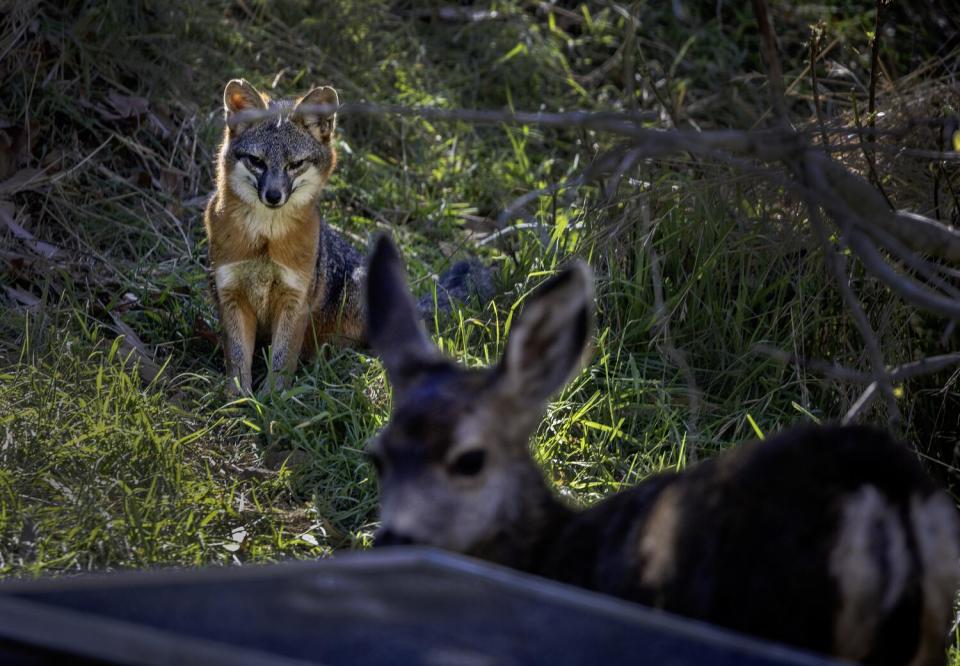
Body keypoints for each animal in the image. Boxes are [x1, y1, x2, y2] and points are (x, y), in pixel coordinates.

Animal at [202, 80, 488, 392]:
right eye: (257, 161)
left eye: (295, 164)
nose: (274, 196)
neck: (266, 240)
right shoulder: (231, 294)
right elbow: (237, 359)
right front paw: (239, 398)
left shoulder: (295, 299)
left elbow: (281, 360)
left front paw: (272, 398)